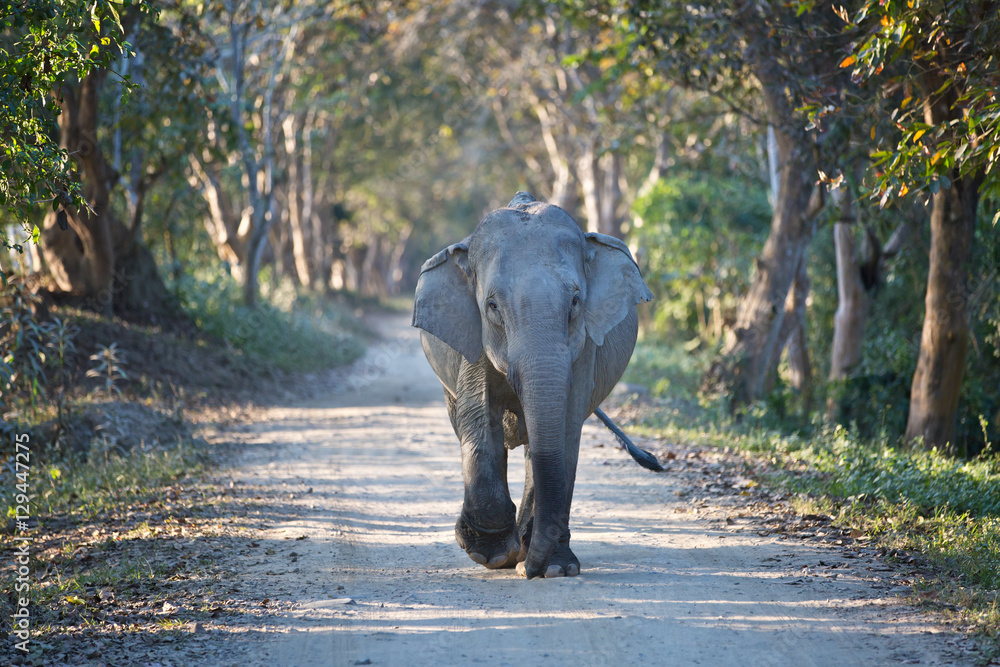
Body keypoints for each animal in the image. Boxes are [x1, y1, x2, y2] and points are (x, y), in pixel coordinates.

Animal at [412, 192, 654, 579]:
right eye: (492, 307)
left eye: (575, 302)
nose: (530, 571)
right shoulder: (471, 337)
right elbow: (480, 418)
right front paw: (491, 554)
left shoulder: (584, 345)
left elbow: (566, 426)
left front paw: (554, 568)